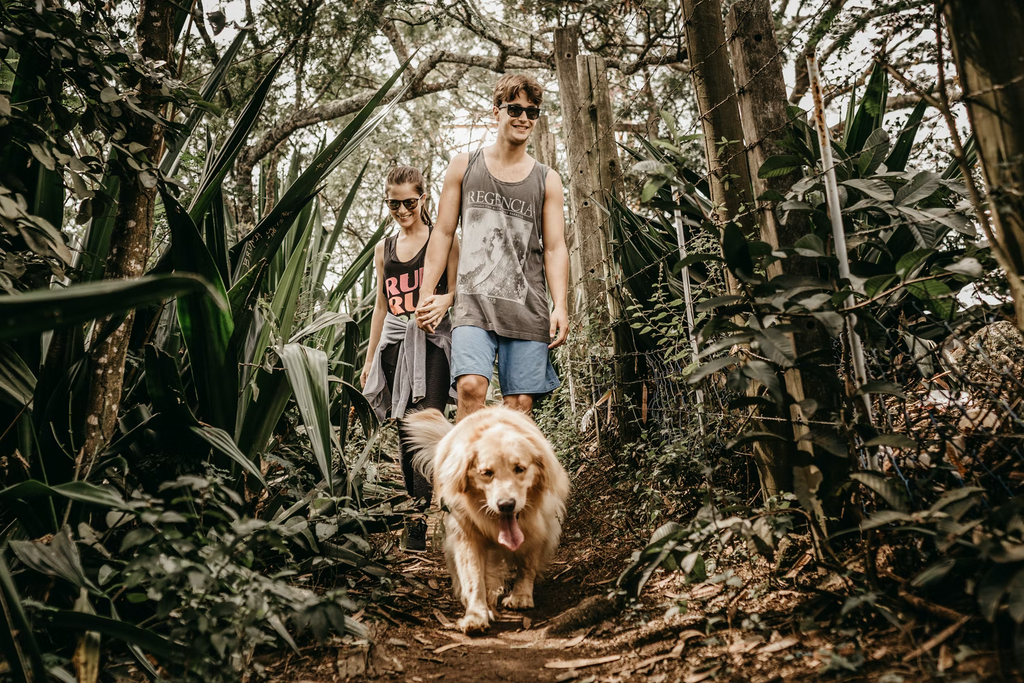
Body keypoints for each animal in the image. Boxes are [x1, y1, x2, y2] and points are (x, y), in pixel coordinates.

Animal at [403, 405, 573, 634]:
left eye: (520, 469)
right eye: (486, 473)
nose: (506, 505)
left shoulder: (538, 525)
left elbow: (528, 563)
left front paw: (521, 595)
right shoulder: (467, 534)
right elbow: (473, 577)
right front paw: (476, 614)